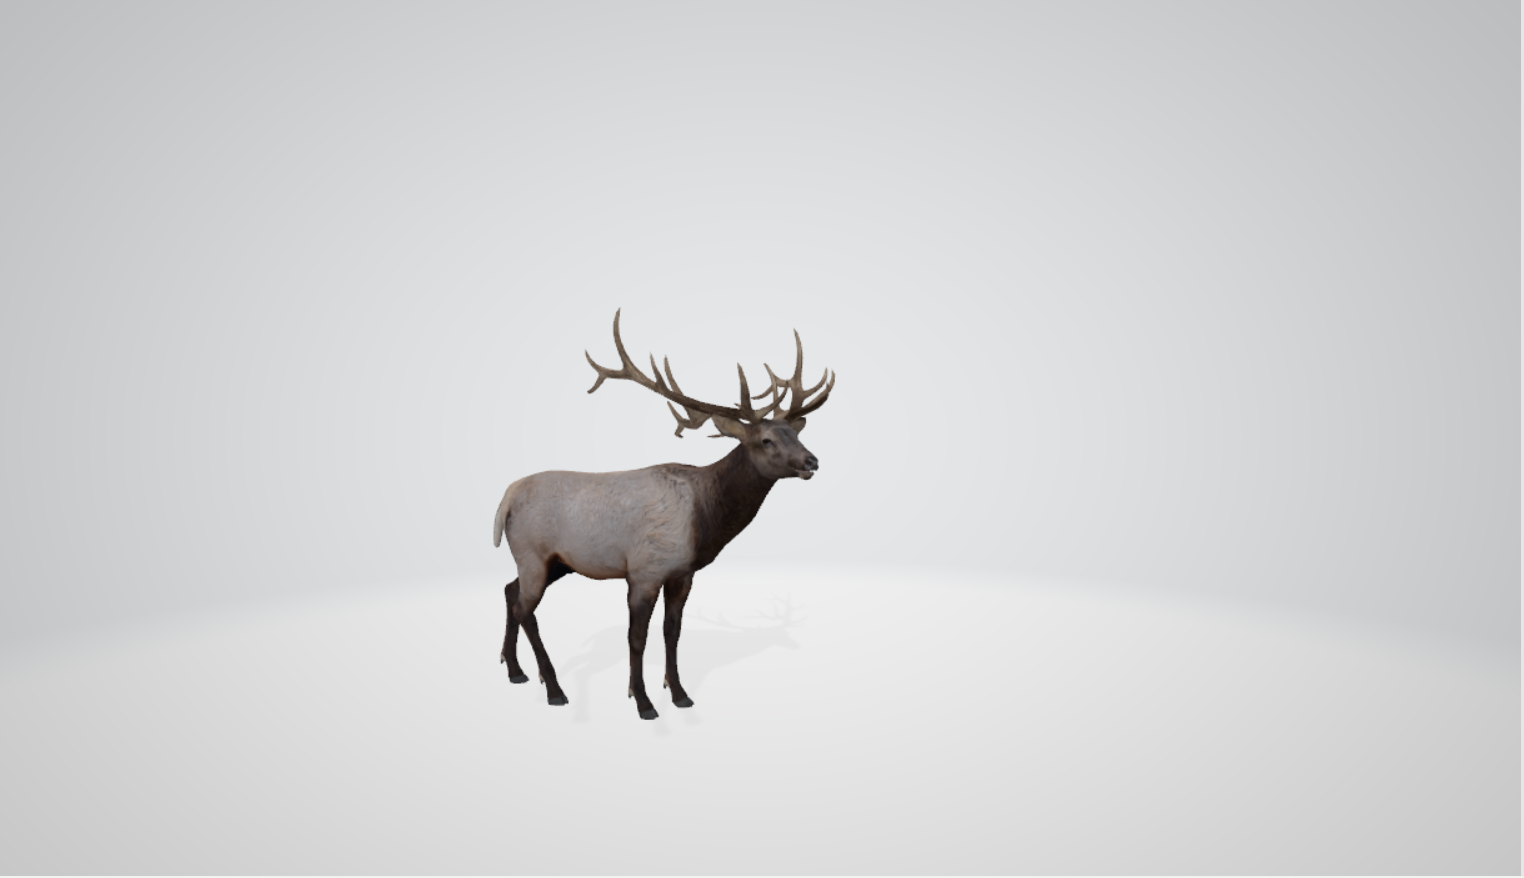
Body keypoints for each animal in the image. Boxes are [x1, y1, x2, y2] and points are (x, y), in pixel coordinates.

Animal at [492, 310, 834, 720]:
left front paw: (680, 693)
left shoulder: (682, 573)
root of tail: (507, 497)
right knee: (525, 607)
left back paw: (515, 670)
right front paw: (642, 702)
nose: (811, 461)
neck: (707, 521)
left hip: (558, 562)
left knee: (509, 590)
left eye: (794, 434)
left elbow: (672, 633)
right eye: (765, 440)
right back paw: (554, 688)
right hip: (533, 554)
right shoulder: (644, 570)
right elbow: (636, 637)